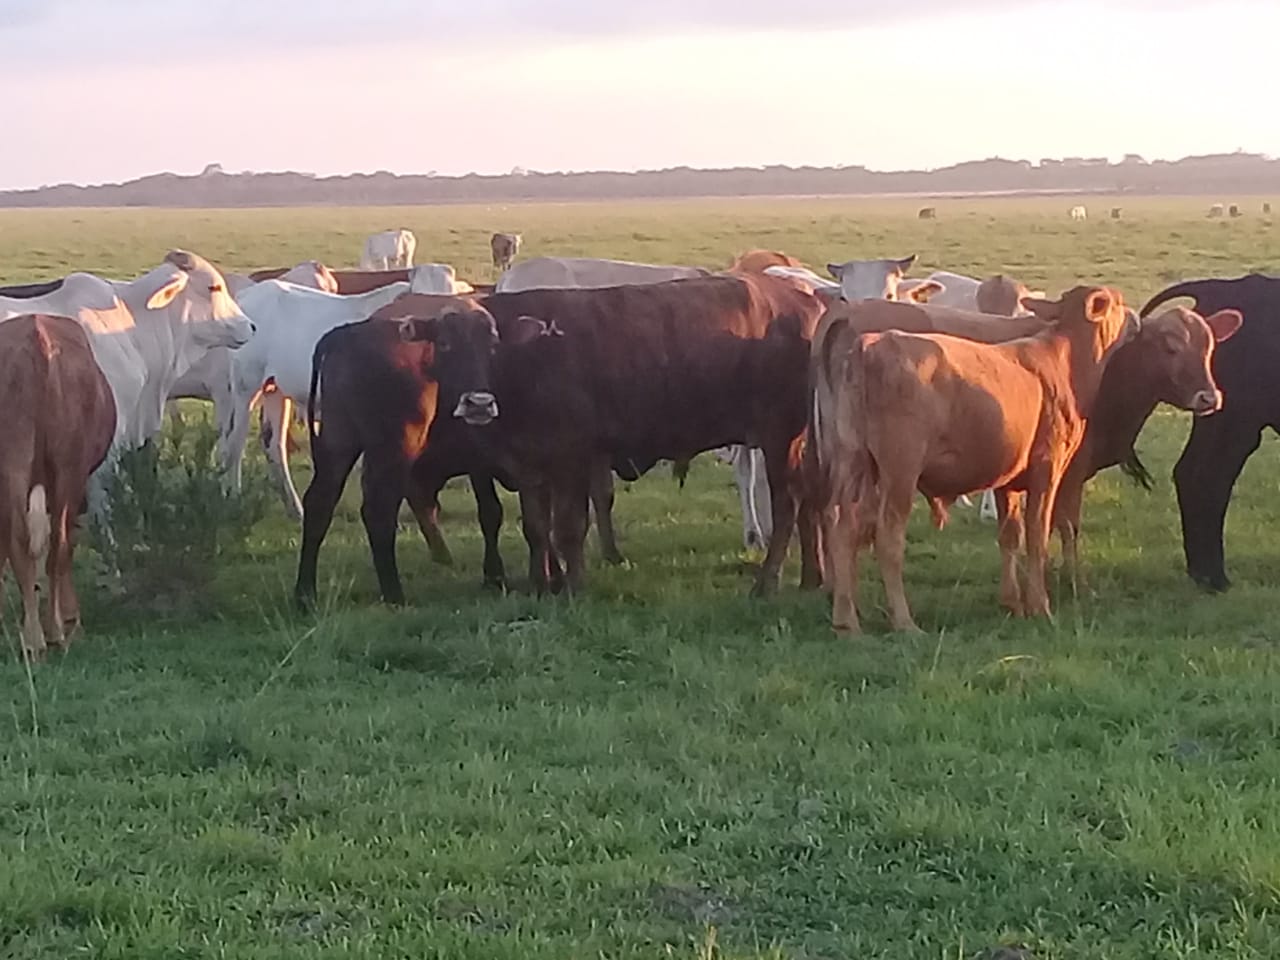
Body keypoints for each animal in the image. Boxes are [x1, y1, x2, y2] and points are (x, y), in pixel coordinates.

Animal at [0, 315, 116, 661]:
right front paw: (71, 619)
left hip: (13, 459)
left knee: (19, 541)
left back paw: (33, 639)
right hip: (68, 468)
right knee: (59, 545)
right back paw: (52, 635)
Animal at [223, 281, 412, 518]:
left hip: (275, 390)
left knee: (274, 446)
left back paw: (295, 508)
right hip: (245, 386)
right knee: (236, 442)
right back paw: (235, 496)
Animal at [400, 274, 826, 596]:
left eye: (491, 345)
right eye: (445, 344)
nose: (478, 403)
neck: (530, 359)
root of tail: (806, 304)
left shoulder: (571, 459)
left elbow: (568, 528)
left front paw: (572, 587)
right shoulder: (529, 466)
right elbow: (536, 528)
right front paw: (540, 584)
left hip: (779, 435)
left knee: (788, 503)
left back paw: (766, 583)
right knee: (808, 499)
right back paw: (811, 578)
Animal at [811, 286, 1137, 633]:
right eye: (1116, 303)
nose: (1135, 319)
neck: (1063, 359)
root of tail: (867, 346)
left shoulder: (1008, 479)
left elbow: (1010, 535)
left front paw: (1012, 602)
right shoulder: (1047, 471)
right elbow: (1038, 535)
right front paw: (1040, 606)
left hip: (852, 460)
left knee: (842, 530)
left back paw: (847, 621)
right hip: (900, 470)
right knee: (887, 536)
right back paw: (904, 622)